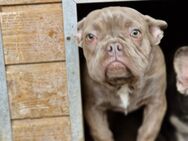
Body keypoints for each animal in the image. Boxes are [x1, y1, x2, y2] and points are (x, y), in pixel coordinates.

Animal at [77, 6, 168, 141]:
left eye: (135, 32)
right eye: (90, 36)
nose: (113, 46)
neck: (123, 82)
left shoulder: (156, 103)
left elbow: (148, 131)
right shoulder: (94, 109)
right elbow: (102, 133)